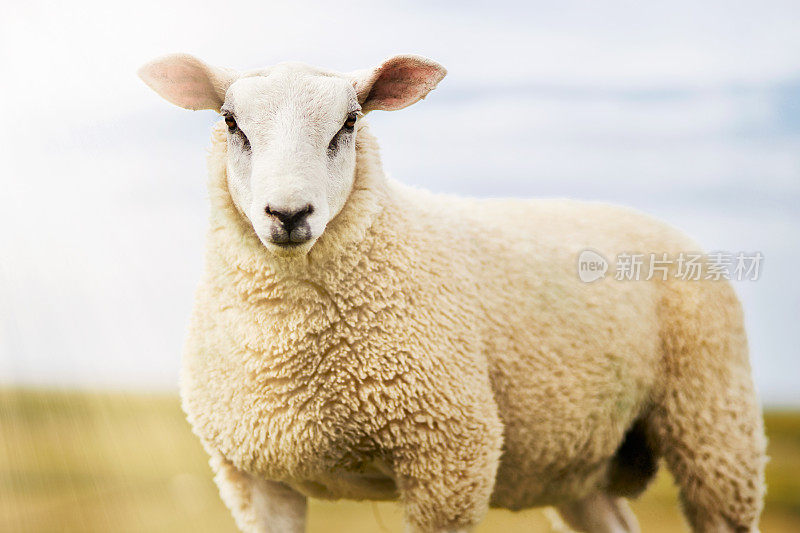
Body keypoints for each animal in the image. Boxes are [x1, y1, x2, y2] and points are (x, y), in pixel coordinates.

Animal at [139, 51, 768, 532]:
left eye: (349, 122)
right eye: (231, 122)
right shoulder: (254, 479)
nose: (289, 214)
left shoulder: (450, 457)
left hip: (715, 424)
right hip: (580, 461)